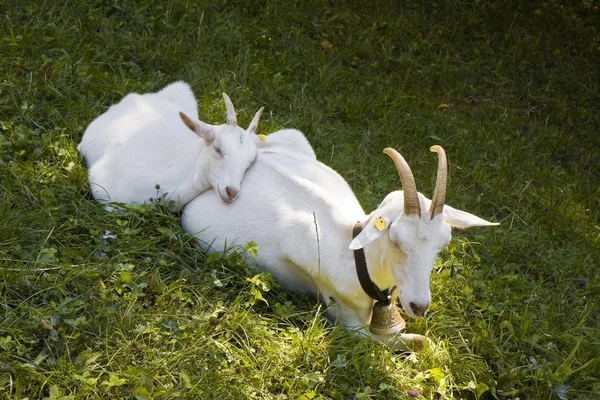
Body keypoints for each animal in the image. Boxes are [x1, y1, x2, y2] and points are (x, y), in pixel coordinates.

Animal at [182, 142, 496, 348]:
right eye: (395, 239)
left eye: (443, 242)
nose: (419, 306)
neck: (355, 259)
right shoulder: (344, 317)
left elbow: (424, 343)